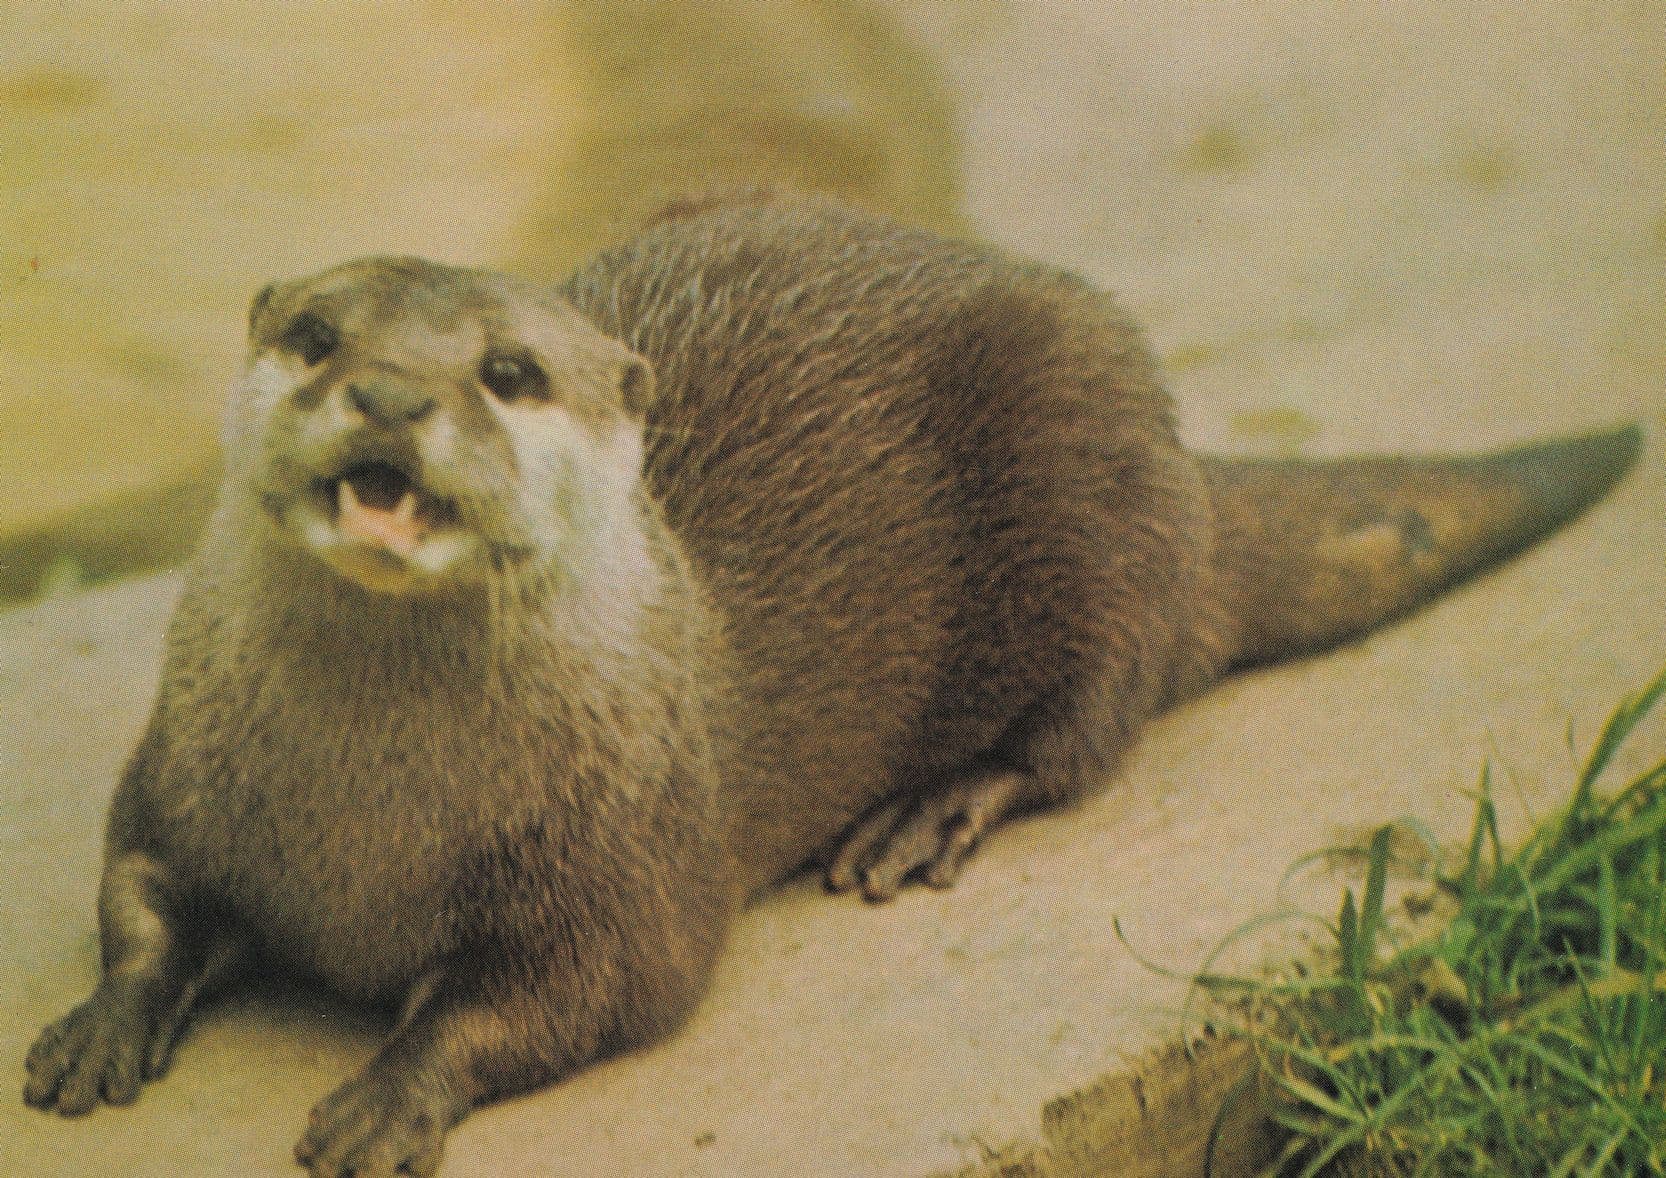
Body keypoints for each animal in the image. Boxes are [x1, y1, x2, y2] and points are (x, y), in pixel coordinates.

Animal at [23, 191, 1642, 1176]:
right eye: (315, 336)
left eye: (507, 369)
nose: (387, 394)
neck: (367, 823)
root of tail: (1184, 476)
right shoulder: (181, 770)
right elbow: (139, 890)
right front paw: (101, 1025)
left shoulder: (634, 855)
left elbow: (569, 991)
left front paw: (384, 1091)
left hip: (1090, 474)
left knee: (1091, 716)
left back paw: (930, 809)